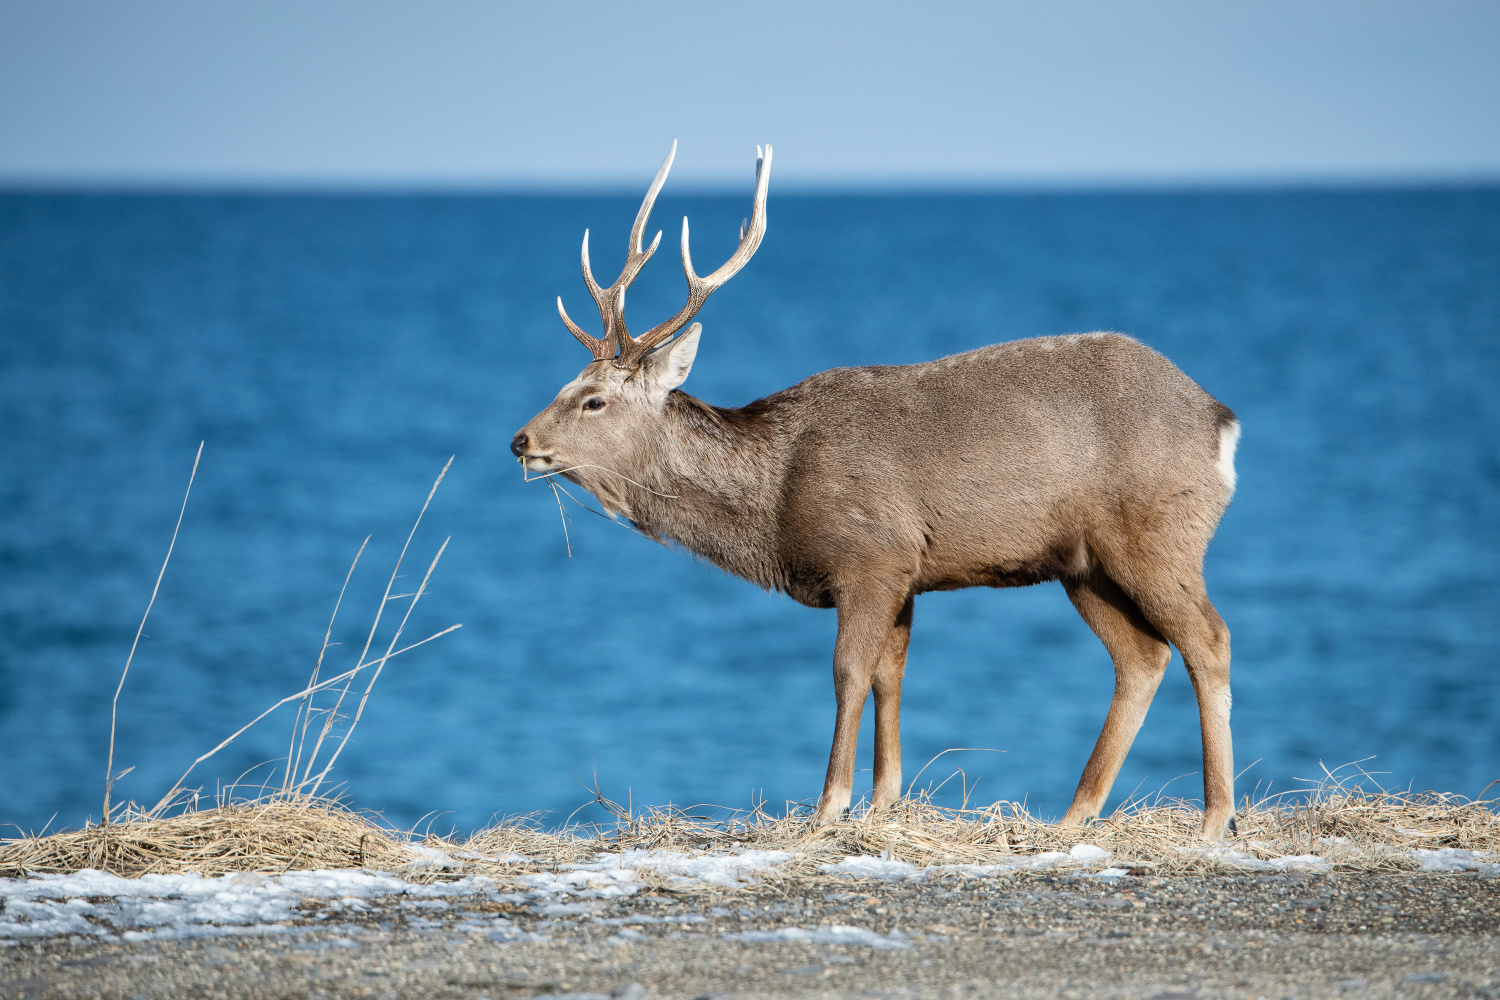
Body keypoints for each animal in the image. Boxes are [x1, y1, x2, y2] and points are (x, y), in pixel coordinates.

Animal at [516, 144, 1242, 839]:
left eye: (593, 400)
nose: (520, 441)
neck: (776, 502)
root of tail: (1221, 421)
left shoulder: (870, 554)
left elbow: (848, 673)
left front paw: (829, 805)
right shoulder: (906, 572)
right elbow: (890, 674)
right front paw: (883, 801)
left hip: (1158, 531)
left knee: (1208, 640)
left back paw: (1214, 818)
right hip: (1083, 563)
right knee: (1142, 656)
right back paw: (1075, 815)